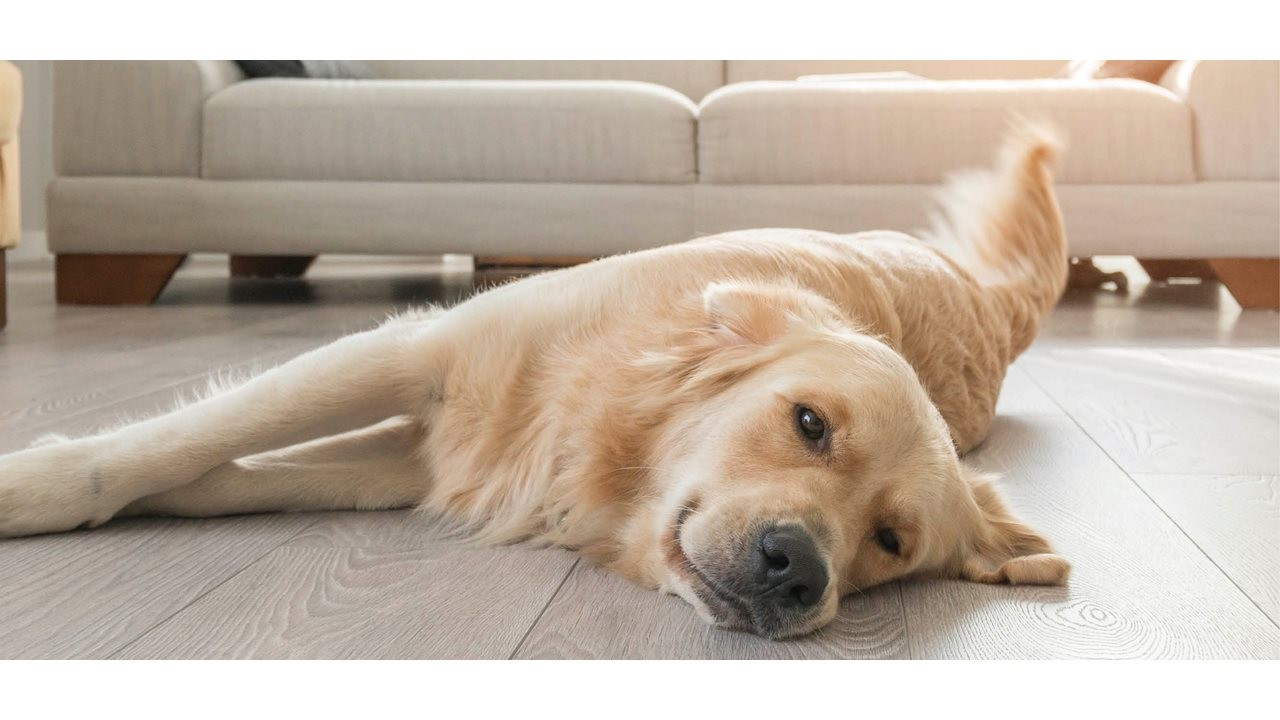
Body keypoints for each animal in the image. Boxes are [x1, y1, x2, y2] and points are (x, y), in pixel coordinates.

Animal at [0, 124, 1070, 638]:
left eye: (890, 542)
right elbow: (176, 443)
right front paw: (38, 483)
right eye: (810, 424)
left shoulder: (418, 464)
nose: (798, 571)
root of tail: (985, 298)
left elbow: (227, 473)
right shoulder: (417, 355)